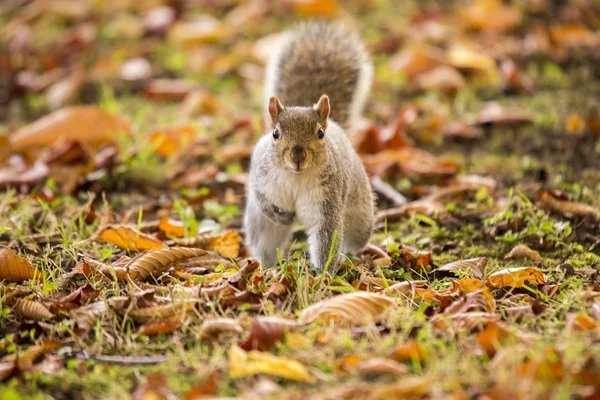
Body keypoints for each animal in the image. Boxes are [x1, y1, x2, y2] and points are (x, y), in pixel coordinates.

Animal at [244, 22, 376, 276]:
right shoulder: (261, 178)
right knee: (266, 242)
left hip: (361, 216)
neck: (296, 177)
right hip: (261, 228)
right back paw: (266, 268)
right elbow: (261, 199)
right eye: (275, 133)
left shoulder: (327, 202)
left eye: (320, 133)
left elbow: (327, 239)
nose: (297, 156)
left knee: (354, 239)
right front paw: (280, 216)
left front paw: (323, 275)